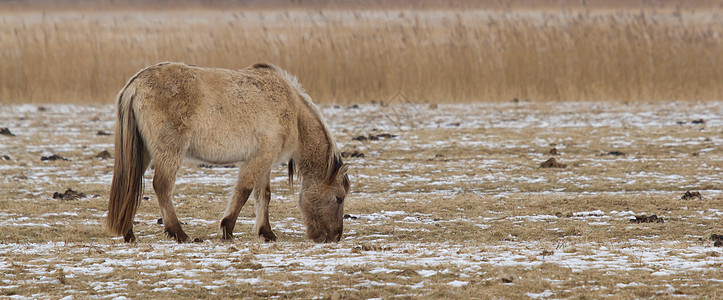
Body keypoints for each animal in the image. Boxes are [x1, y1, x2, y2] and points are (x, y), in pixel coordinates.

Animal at [107, 62, 350, 244]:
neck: (293, 110)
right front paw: (228, 229)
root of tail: (135, 85)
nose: (335, 236)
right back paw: (179, 233)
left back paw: (129, 234)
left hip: (144, 152)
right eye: (339, 198)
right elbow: (244, 190)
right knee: (162, 186)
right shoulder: (260, 159)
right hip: (170, 150)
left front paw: (266, 233)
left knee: (131, 185)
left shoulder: (265, 159)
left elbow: (264, 195)